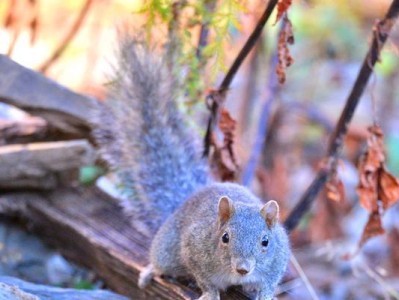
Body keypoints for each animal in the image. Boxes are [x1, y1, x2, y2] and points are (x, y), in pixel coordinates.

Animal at [95, 39, 292, 300]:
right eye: (225, 237)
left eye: (266, 242)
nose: (243, 269)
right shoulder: (194, 248)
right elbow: (204, 278)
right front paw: (210, 293)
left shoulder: (278, 260)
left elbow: (269, 281)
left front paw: (265, 295)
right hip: (167, 250)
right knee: (160, 261)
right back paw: (150, 271)